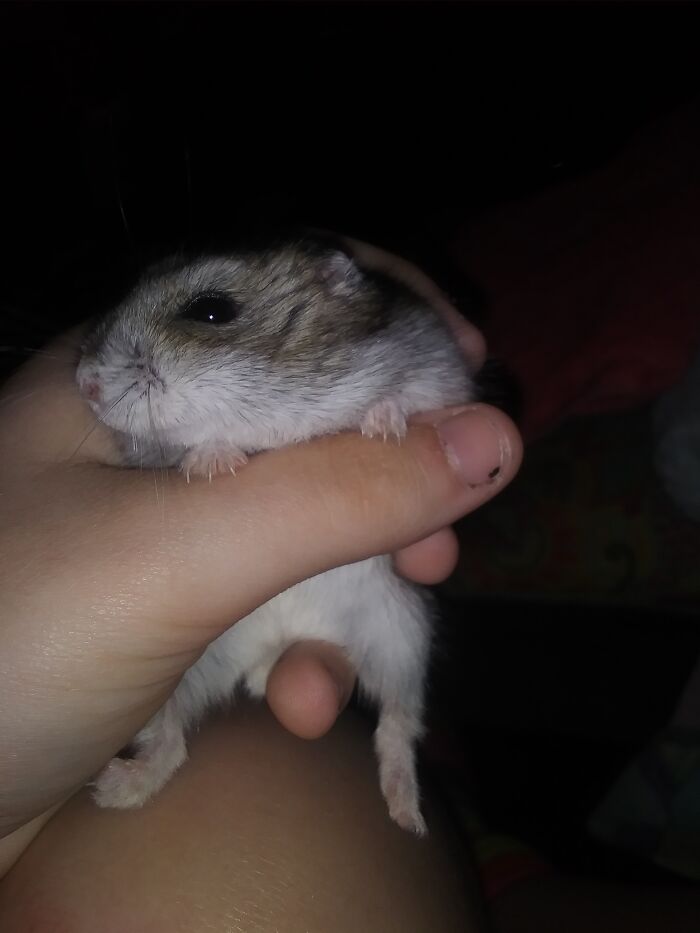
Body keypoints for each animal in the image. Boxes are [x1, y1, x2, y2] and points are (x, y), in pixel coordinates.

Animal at [76, 232, 475, 834]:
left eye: (211, 310)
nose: (85, 383)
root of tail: (272, 650)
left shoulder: (441, 371)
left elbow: (412, 399)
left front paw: (382, 426)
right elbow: (193, 447)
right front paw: (213, 464)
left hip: (402, 635)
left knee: (398, 726)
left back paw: (408, 816)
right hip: (175, 675)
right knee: (169, 743)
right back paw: (113, 789)